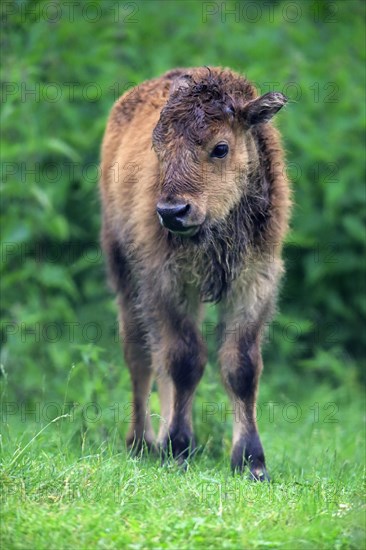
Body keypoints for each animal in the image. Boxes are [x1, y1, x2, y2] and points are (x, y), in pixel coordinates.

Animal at [100, 67, 292, 480]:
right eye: (158, 149)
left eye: (220, 148)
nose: (172, 211)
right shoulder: (167, 284)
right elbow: (185, 361)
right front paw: (177, 448)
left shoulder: (255, 283)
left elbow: (241, 367)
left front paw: (252, 463)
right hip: (123, 272)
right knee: (140, 355)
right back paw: (141, 442)